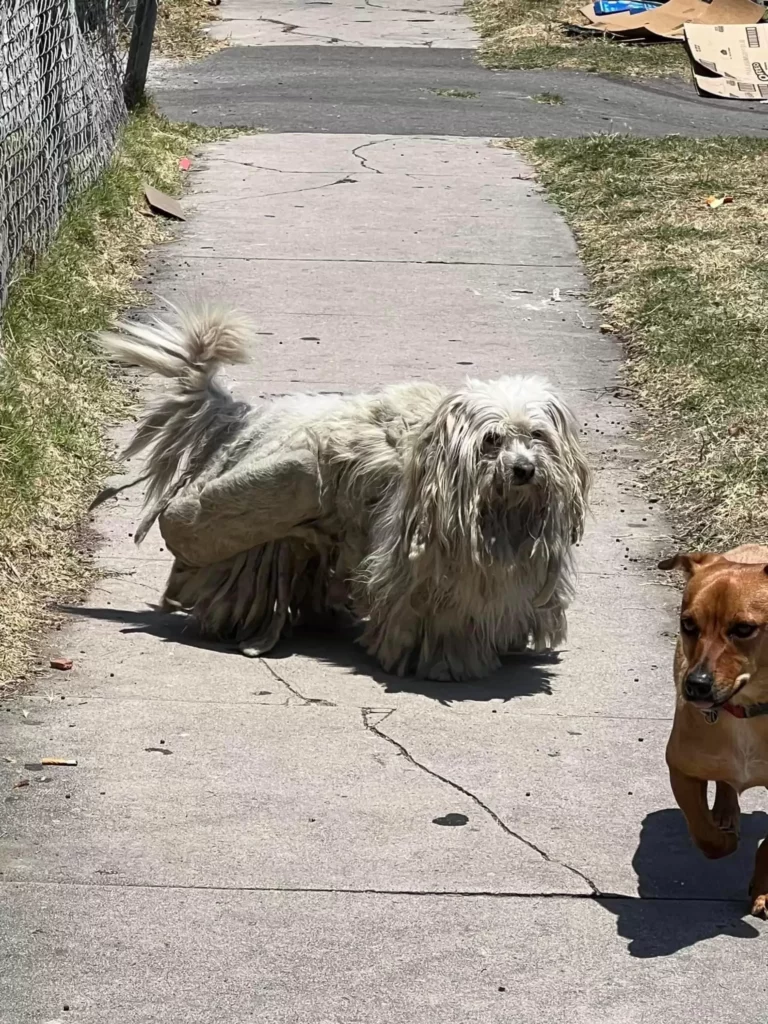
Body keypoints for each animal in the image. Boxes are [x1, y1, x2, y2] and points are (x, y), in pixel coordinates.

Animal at [94, 307, 589, 684]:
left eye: (537, 435)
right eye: (491, 440)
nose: (523, 469)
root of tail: (249, 415)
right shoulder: (424, 574)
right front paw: (449, 664)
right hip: (260, 518)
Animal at [659, 540, 768, 917]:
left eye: (744, 629)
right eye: (688, 624)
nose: (696, 685)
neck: (748, 712)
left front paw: (763, 892)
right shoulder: (681, 768)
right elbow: (704, 832)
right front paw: (725, 840)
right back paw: (724, 811)